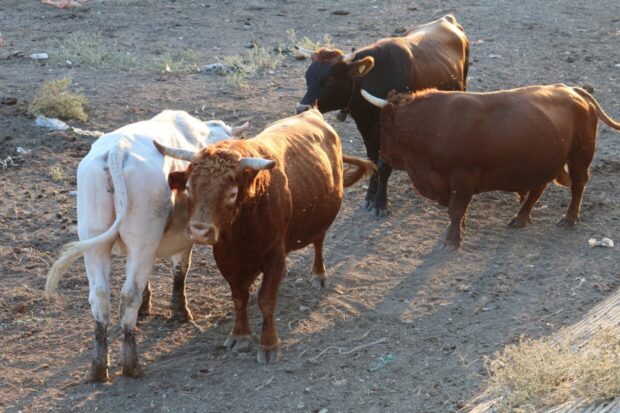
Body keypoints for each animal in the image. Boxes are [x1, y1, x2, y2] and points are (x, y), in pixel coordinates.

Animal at [44, 109, 248, 380]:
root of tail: (117, 151)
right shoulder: (185, 237)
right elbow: (181, 269)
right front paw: (180, 311)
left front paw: (147, 305)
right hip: (142, 239)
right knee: (129, 295)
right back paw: (131, 365)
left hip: (97, 240)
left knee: (100, 296)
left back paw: (98, 367)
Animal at [156, 108, 378, 362]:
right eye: (189, 188)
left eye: (232, 193)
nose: (199, 231)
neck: (241, 229)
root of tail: (312, 112)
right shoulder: (225, 259)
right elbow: (239, 297)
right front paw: (240, 335)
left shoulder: (273, 256)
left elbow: (267, 300)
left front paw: (269, 344)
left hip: (321, 219)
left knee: (318, 242)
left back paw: (319, 274)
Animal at [360, 84, 620, 248]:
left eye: (384, 126)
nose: (382, 158)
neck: (433, 124)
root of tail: (574, 91)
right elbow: (457, 211)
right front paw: (459, 229)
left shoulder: (462, 179)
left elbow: (456, 210)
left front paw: (452, 240)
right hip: (543, 163)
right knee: (537, 189)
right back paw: (521, 217)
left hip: (579, 156)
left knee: (578, 184)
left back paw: (569, 217)